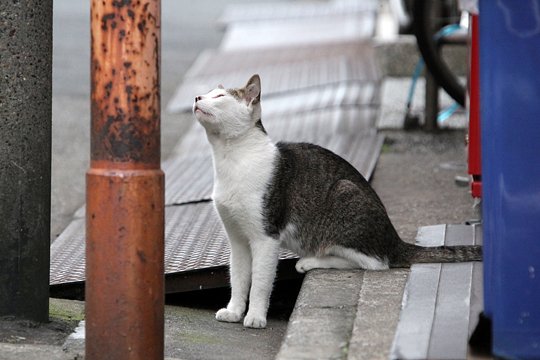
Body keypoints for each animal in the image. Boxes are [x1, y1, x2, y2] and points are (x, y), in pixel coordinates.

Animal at [193, 74, 480, 330]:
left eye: (219, 97)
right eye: (207, 93)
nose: (196, 97)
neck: (231, 158)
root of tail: (394, 238)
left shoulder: (266, 237)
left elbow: (261, 282)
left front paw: (255, 316)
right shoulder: (238, 240)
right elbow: (239, 278)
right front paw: (234, 310)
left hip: (345, 197)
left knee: (375, 263)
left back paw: (311, 261)